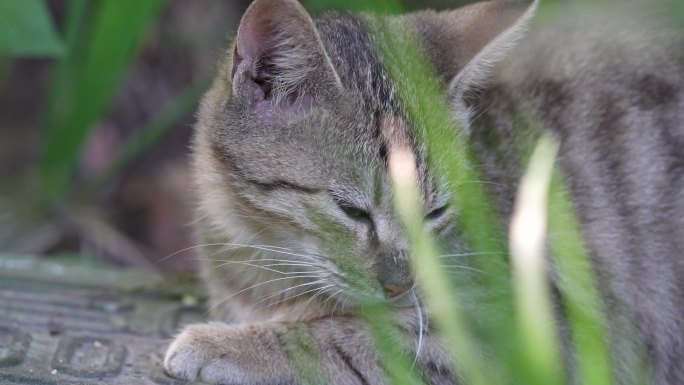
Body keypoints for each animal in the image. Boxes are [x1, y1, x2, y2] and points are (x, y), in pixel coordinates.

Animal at [163, 0, 680, 382]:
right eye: (352, 210)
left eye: (435, 213)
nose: (401, 283)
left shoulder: (548, 334)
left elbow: (352, 340)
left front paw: (226, 344)